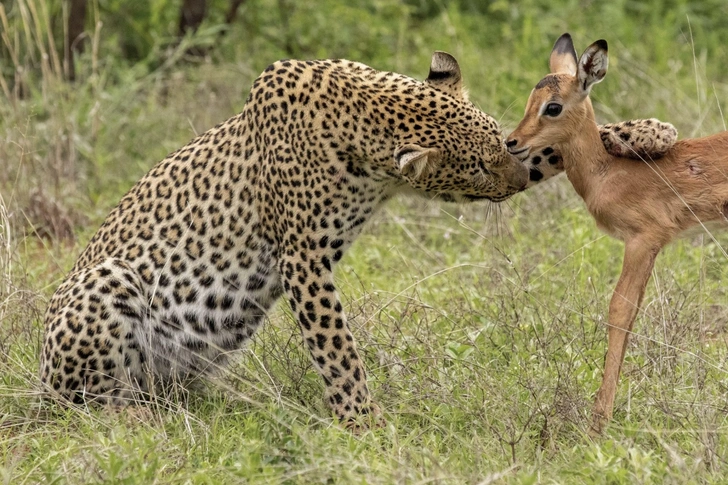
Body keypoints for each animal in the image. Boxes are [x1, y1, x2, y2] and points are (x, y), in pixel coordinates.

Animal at [38, 50, 676, 428]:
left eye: (502, 140)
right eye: (473, 168)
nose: (515, 179)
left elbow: (562, 147)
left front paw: (649, 131)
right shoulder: (302, 259)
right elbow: (338, 351)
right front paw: (367, 427)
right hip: (106, 285)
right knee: (89, 408)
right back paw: (134, 421)